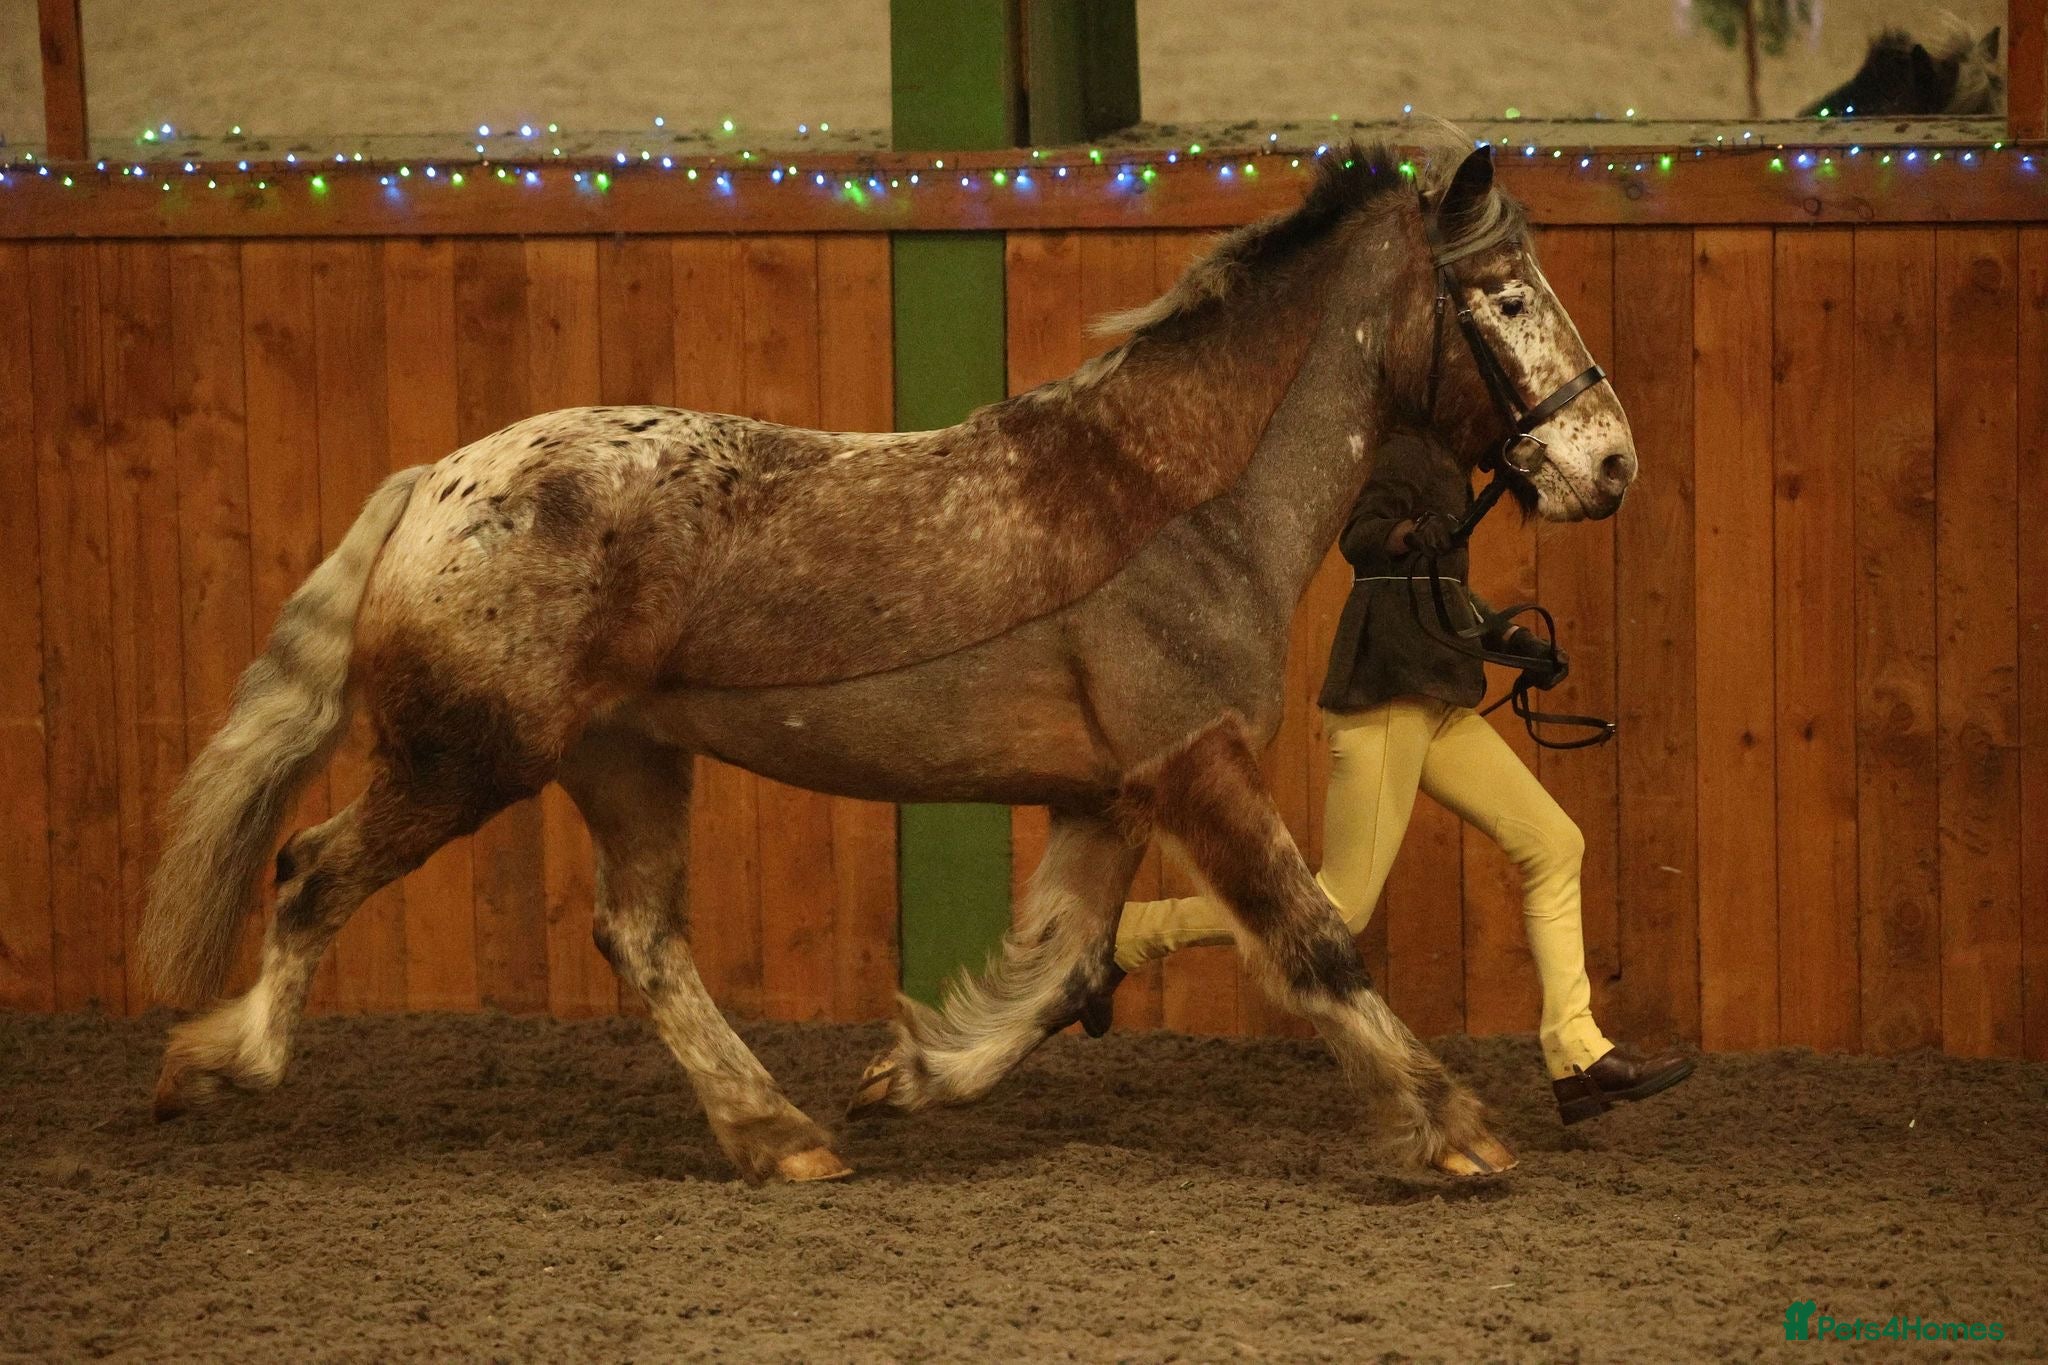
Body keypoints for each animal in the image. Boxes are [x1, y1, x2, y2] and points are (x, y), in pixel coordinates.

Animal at [140, 135, 1637, 1185]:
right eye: (1506, 297)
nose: (1607, 462)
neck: (1176, 499)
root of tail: (436, 482)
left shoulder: (1109, 794)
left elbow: (1063, 971)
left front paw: (908, 1074)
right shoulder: (1193, 765)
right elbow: (1316, 939)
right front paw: (1453, 1128)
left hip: (627, 761)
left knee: (641, 935)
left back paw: (779, 1133)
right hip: (465, 759)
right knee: (311, 870)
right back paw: (218, 1063)